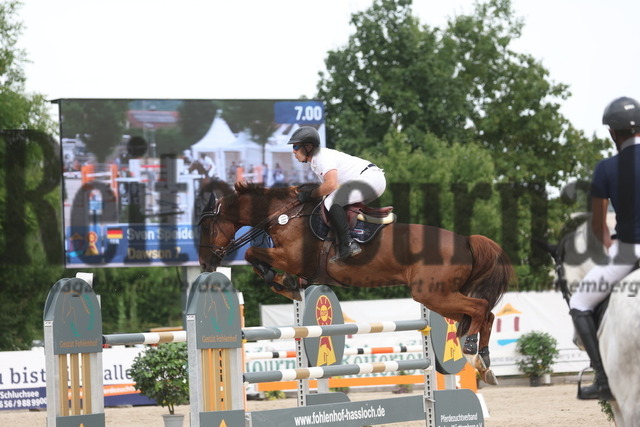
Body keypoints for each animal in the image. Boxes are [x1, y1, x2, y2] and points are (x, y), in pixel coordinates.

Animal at [198, 181, 516, 384]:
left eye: (205, 226)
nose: (204, 264)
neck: (285, 216)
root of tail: (465, 241)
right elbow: (256, 256)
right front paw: (286, 284)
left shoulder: (293, 258)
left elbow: (252, 253)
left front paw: (281, 282)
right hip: (439, 297)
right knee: (484, 314)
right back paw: (485, 363)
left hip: (433, 295)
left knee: (480, 309)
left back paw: (472, 352)